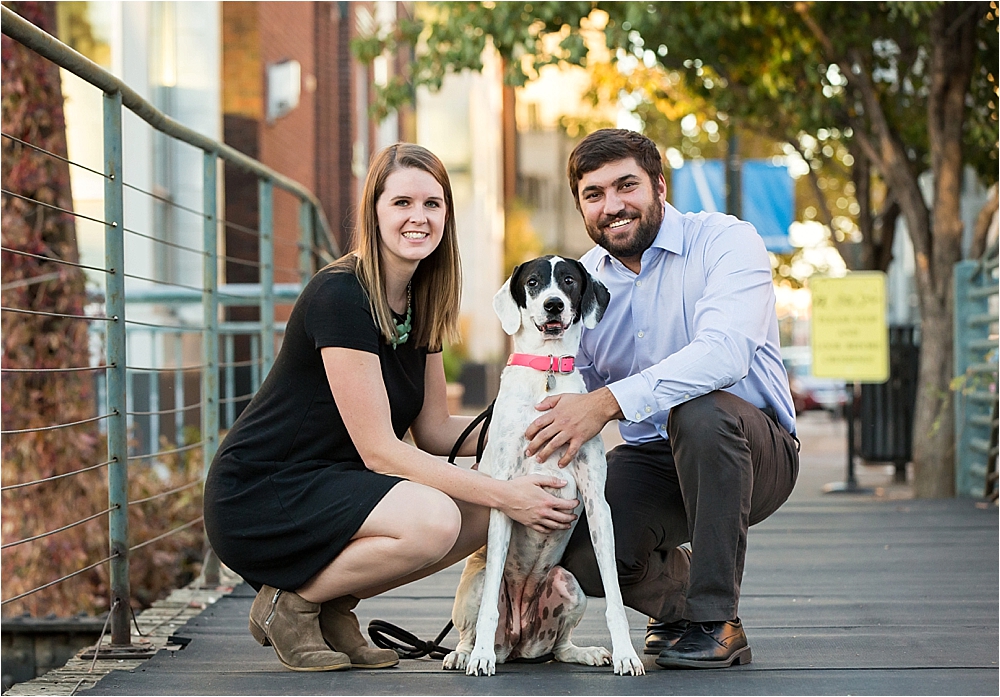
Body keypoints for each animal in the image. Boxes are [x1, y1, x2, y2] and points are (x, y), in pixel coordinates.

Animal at [442, 254, 644, 676]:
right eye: (533, 282)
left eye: (568, 281)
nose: (554, 305)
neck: (546, 370)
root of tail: (518, 641)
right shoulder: (505, 499)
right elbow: (489, 607)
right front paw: (480, 657)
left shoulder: (597, 505)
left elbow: (615, 599)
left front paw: (626, 654)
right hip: (476, 582)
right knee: (473, 624)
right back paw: (466, 653)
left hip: (569, 584)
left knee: (559, 646)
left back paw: (585, 652)